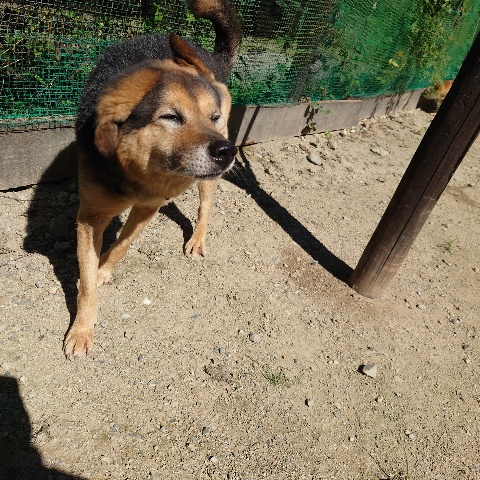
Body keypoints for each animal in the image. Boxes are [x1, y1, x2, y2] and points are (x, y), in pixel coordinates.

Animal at [64, 0, 242, 360]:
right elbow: (86, 283)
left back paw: (198, 238)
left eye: (212, 116)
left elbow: (122, 245)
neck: (136, 173)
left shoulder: (148, 207)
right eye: (170, 117)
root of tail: (210, 57)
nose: (227, 152)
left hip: (207, 177)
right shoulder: (90, 218)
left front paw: (104, 270)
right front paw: (83, 329)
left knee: (205, 205)